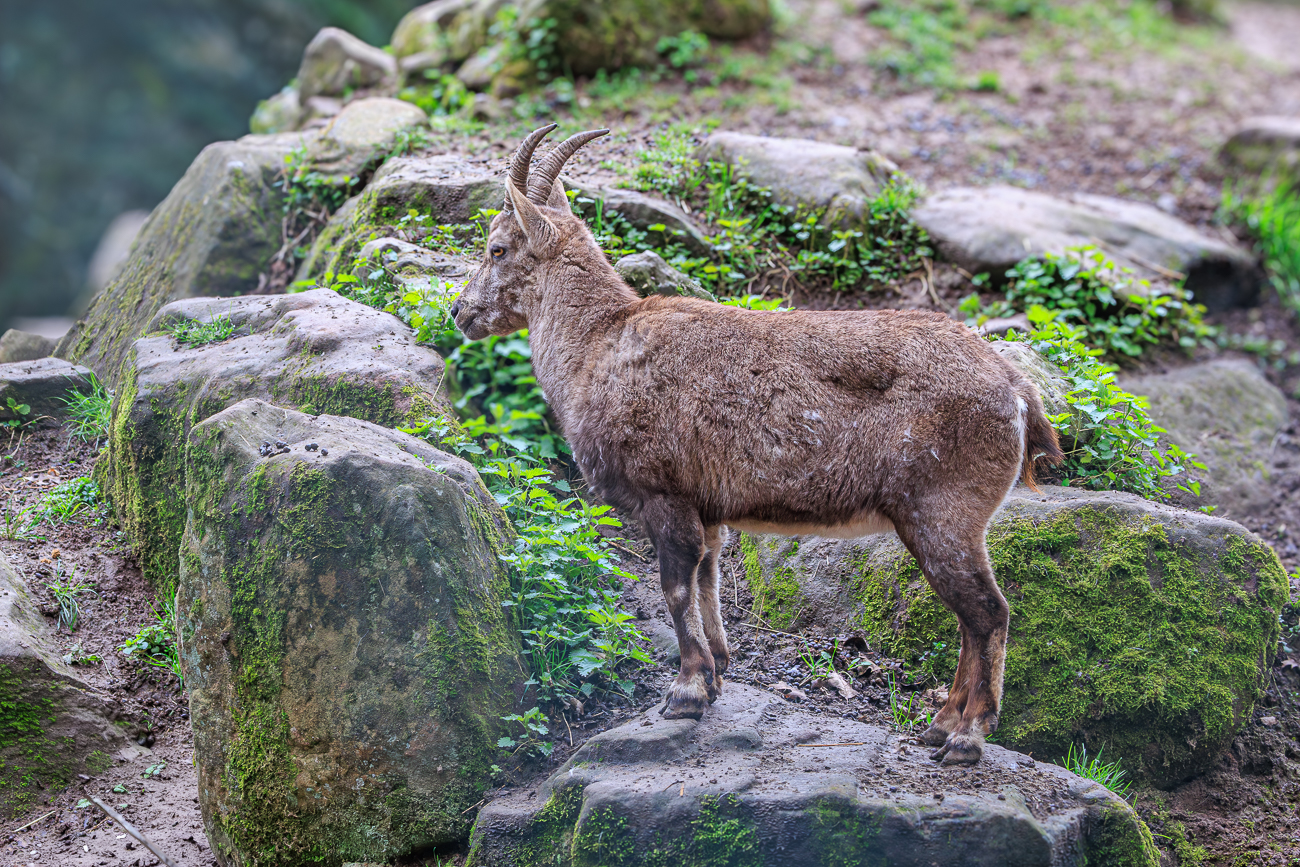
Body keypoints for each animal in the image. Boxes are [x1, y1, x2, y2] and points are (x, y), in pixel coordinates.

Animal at [450, 125, 1063, 766]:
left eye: (497, 248)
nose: (459, 311)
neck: (596, 345)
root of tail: (1018, 392)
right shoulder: (706, 507)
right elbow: (708, 579)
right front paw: (717, 671)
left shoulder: (663, 494)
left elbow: (674, 588)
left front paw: (686, 693)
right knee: (973, 618)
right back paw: (939, 727)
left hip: (943, 512)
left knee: (988, 613)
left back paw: (966, 737)